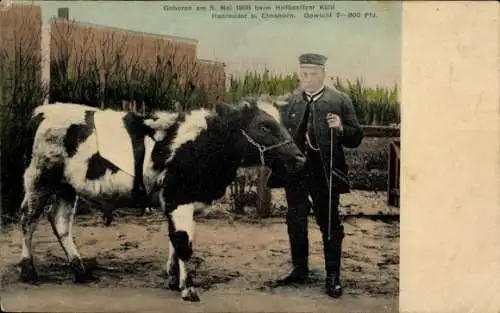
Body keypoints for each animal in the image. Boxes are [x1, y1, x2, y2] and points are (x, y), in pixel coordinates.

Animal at [18, 98, 304, 300]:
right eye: (263, 126)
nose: (300, 158)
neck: (204, 143)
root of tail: (43, 110)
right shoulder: (178, 199)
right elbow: (183, 243)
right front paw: (189, 289)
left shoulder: (180, 203)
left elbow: (175, 241)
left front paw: (173, 278)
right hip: (38, 179)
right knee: (28, 220)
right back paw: (28, 270)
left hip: (67, 187)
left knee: (60, 223)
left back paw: (79, 270)